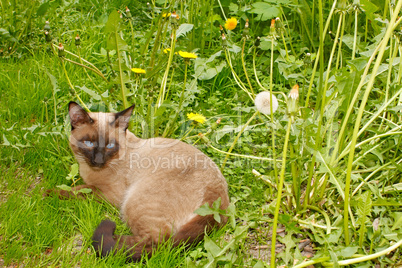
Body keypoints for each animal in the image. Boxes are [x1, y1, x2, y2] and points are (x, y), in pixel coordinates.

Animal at [59, 101, 229, 260]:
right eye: (89, 143)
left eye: (110, 145)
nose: (98, 160)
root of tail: (216, 201)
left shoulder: (109, 194)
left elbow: (74, 190)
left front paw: (52, 193)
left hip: (132, 202)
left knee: (157, 243)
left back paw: (111, 240)